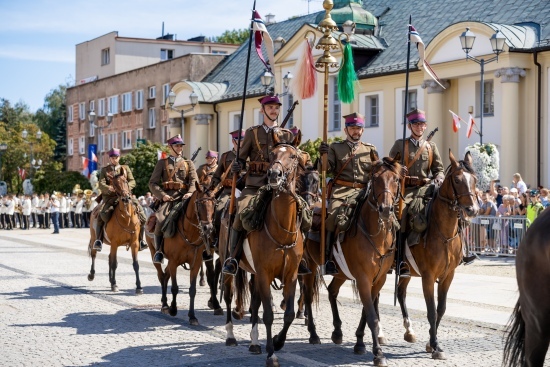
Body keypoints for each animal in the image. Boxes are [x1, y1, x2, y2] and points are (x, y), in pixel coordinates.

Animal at [148, 183, 223, 324]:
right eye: (199, 204)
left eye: (214, 204)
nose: (208, 228)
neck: (189, 232)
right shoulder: (173, 262)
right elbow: (174, 287)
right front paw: (173, 309)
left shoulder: (196, 263)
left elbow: (192, 290)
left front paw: (192, 316)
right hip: (153, 252)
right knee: (161, 276)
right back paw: (165, 305)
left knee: (165, 276)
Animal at [235, 135, 306, 367]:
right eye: (272, 155)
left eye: (293, 156)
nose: (274, 174)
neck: (281, 230)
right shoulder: (265, 274)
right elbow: (267, 315)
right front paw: (271, 354)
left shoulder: (291, 275)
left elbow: (289, 314)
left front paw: (277, 341)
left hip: (255, 275)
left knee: (255, 303)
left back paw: (255, 343)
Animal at [398, 150, 480, 360]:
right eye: (457, 180)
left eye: (475, 179)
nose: (472, 210)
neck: (444, 233)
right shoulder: (428, 277)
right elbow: (431, 311)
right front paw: (435, 346)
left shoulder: (448, 276)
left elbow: (440, 309)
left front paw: (431, 342)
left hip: (406, 272)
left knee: (401, 294)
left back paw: (409, 331)